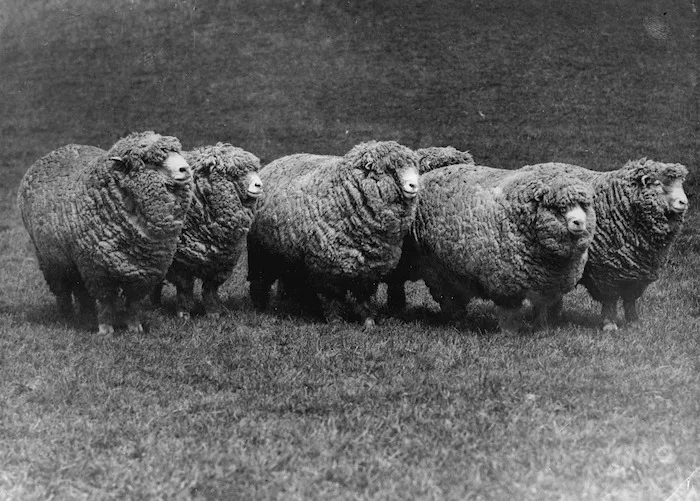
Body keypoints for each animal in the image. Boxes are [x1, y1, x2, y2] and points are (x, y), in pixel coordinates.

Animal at [17, 131, 193, 334]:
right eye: (149, 161)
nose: (185, 169)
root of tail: (54, 152)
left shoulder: (143, 273)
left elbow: (132, 303)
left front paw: (134, 327)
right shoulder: (97, 270)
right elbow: (106, 300)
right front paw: (106, 329)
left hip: (75, 261)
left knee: (80, 290)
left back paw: (85, 314)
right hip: (50, 259)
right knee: (62, 290)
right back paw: (66, 316)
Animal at [150, 143, 263, 318]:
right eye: (233, 174)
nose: (259, 185)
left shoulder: (220, 262)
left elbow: (210, 289)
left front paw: (213, 313)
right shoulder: (181, 263)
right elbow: (185, 288)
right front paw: (183, 313)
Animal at [247, 140, 421, 328]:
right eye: (390, 169)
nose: (414, 186)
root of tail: (277, 161)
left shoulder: (369, 270)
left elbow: (365, 299)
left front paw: (369, 323)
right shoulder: (326, 267)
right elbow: (332, 299)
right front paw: (335, 322)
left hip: (291, 257)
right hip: (261, 252)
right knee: (260, 281)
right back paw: (261, 308)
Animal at [385, 163, 596, 331]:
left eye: (584, 206)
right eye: (561, 208)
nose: (579, 223)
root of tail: (427, 175)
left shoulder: (548, 286)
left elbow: (541, 309)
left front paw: (542, 329)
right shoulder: (505, 283)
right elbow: (509, 312)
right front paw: (509, 333)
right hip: (435, 268)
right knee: (448, 298)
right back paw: (457, 322)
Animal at [531, 159, 689, 331]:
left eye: (680, 183)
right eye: (658, 183)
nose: (684, 202)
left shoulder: (637, 271)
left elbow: (630, 300)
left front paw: (634, 322)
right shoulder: (605, 270)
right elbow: (610, 300)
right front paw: (609, 325)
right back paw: (541, 322)